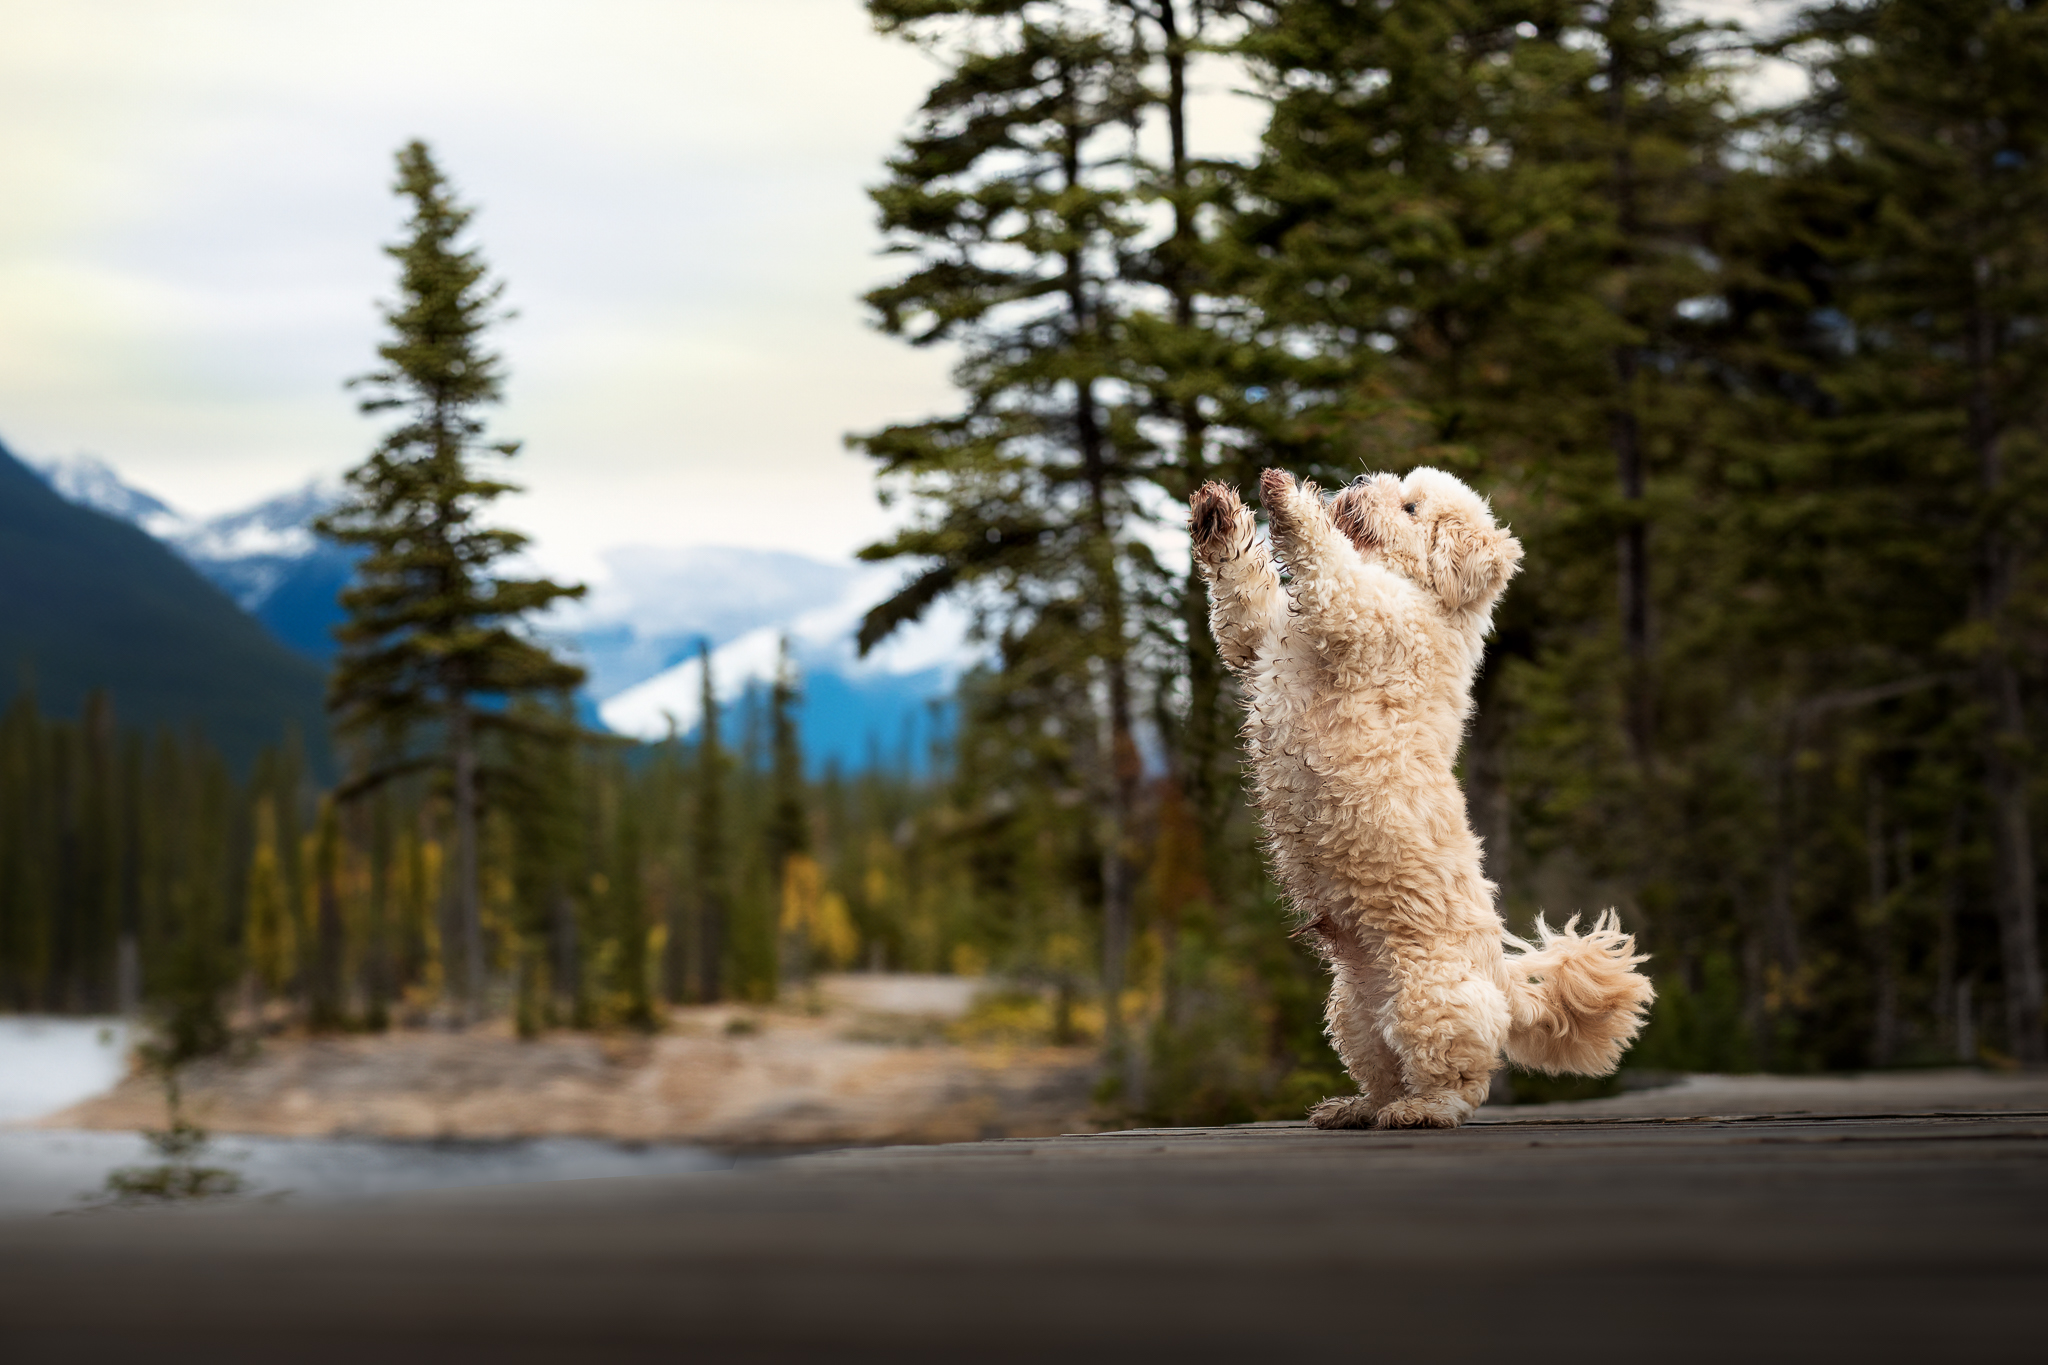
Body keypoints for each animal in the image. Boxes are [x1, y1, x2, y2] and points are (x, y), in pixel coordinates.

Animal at [1196, 470, 1654, 1129]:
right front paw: (1220, 516)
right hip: (1353, 1015)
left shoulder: (1361, 614)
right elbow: (1244, 598)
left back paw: (1421, 1110)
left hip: (1428, 998)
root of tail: (1505, 987)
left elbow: (1327, 561)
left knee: (1459, 1078)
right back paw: (1357, 1107)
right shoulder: (1261, 638)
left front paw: (1288, 497)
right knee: (1384, 1071)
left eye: (1410, 507)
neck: (1420, 593)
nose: (1363, 481)